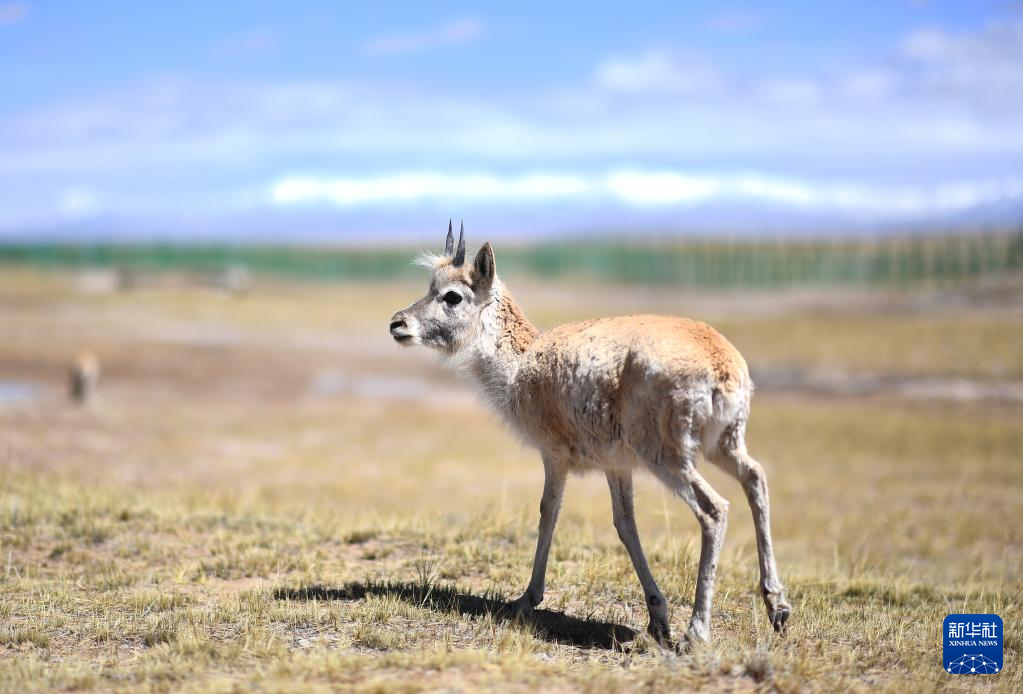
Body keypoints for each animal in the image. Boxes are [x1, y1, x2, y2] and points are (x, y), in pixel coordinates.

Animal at [388, 225, 789, 651]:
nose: (398, 323)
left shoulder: (554, 456)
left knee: (715, 509)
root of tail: (723, 362)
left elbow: (548, 511)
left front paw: (526, 599)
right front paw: (657, 616)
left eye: (452, 295)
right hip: (724, 445)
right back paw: (777, 607)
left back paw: (696, 633)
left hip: (669, 458)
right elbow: (625, 524)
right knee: (755, 477)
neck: (523, 361)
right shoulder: (617, 467)